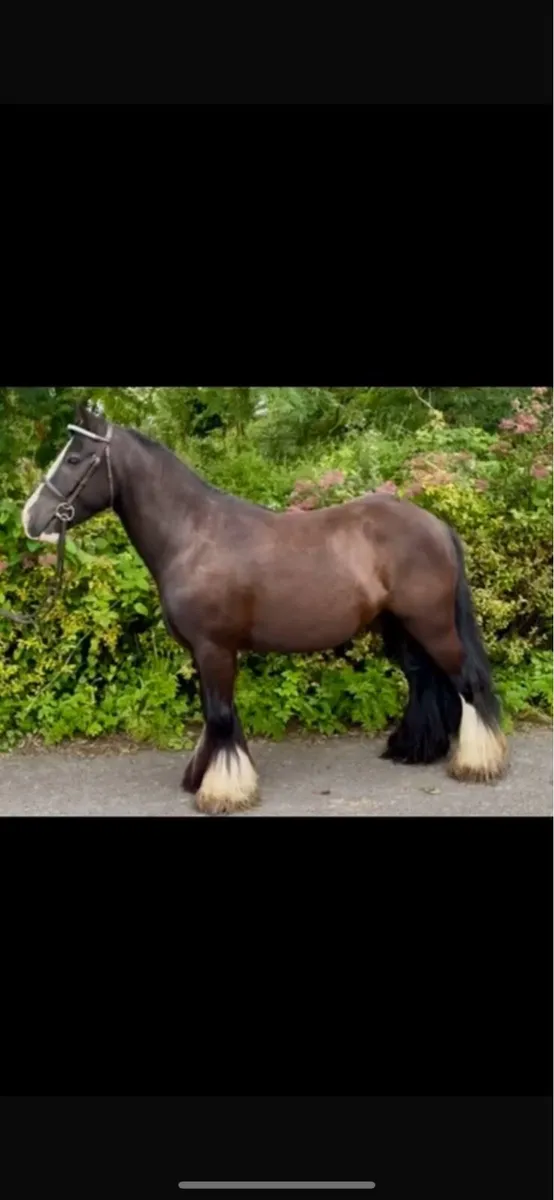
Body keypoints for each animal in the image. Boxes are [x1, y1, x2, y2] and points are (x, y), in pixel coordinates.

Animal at [21, 405, 508, 814]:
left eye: (74, 458)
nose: (30, 519)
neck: (194, 536)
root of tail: (437, 525)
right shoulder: (205, 652)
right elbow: (216, 714)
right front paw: (207, 777)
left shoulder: (215, 648)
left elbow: (218, 715)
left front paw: (222, 791)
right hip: (401, 627)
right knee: (425, 681)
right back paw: (413, 750)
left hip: (431, 624)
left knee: (467, 681)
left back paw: (478, 763)